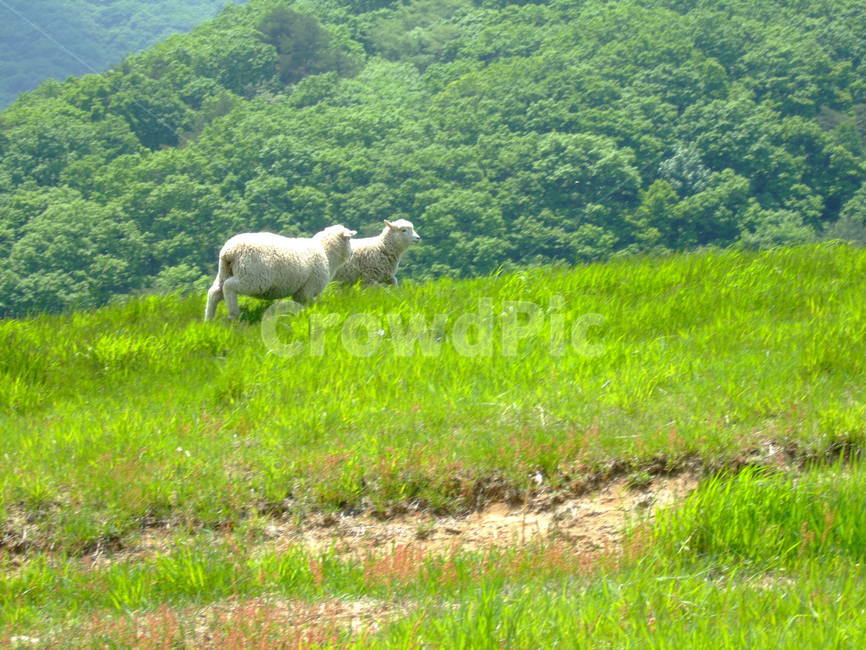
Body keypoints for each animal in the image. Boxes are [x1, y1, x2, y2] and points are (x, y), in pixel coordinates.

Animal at [204, 224, 357, 321]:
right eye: (350, 239)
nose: (352, 253)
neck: (326, 252)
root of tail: (229, 251)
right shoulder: (308, 288)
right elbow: (308, 305)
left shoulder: (301, 291)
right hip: (253, 278)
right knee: (228, 287)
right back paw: (233, 314)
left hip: (225, 272)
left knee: (214, 292)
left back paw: (209, 319)